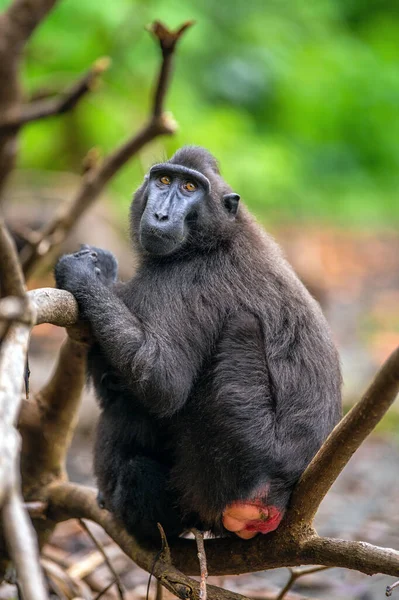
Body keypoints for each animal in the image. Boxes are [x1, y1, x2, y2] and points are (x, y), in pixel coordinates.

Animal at [55, 148, 344, 540]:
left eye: (190, 187)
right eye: (164, 180)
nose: (161, 215)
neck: (217, 236)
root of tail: (275, 498)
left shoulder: (183, 279)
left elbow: (161, 383)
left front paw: (84, 277)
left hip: (224, 461)